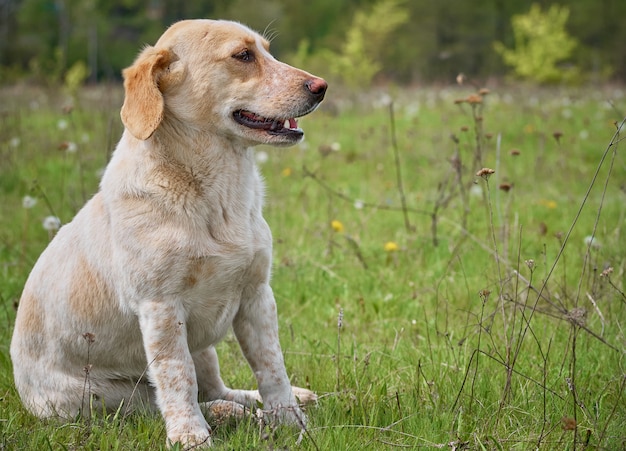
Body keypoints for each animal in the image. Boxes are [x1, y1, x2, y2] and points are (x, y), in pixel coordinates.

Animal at [11, 18, 326, 448]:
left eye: (267, 51)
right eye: (243, 56)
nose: (321, 86)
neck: (218, 192)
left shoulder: (257, 295)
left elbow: (271, 366)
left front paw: (290, 421)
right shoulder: (161, 307)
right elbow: (177, 379)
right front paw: (190, 435)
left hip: (204, 350)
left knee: (220, 387)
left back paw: (267, 403)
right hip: (104, 398)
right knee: (170, 400)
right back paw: (226, 415)